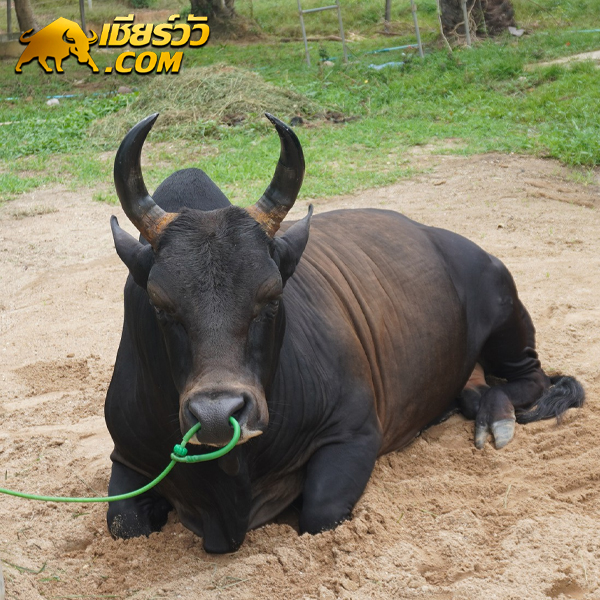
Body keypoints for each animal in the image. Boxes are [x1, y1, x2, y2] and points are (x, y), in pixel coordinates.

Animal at [105, 113, 584, 554]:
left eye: (272, 294)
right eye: (160, 303)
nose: (218, 416)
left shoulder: (352, 433)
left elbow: (320, 512)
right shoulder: (127, 459)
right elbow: (123, 525)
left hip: (506, 316)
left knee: (531, 378)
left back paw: (496, 417)